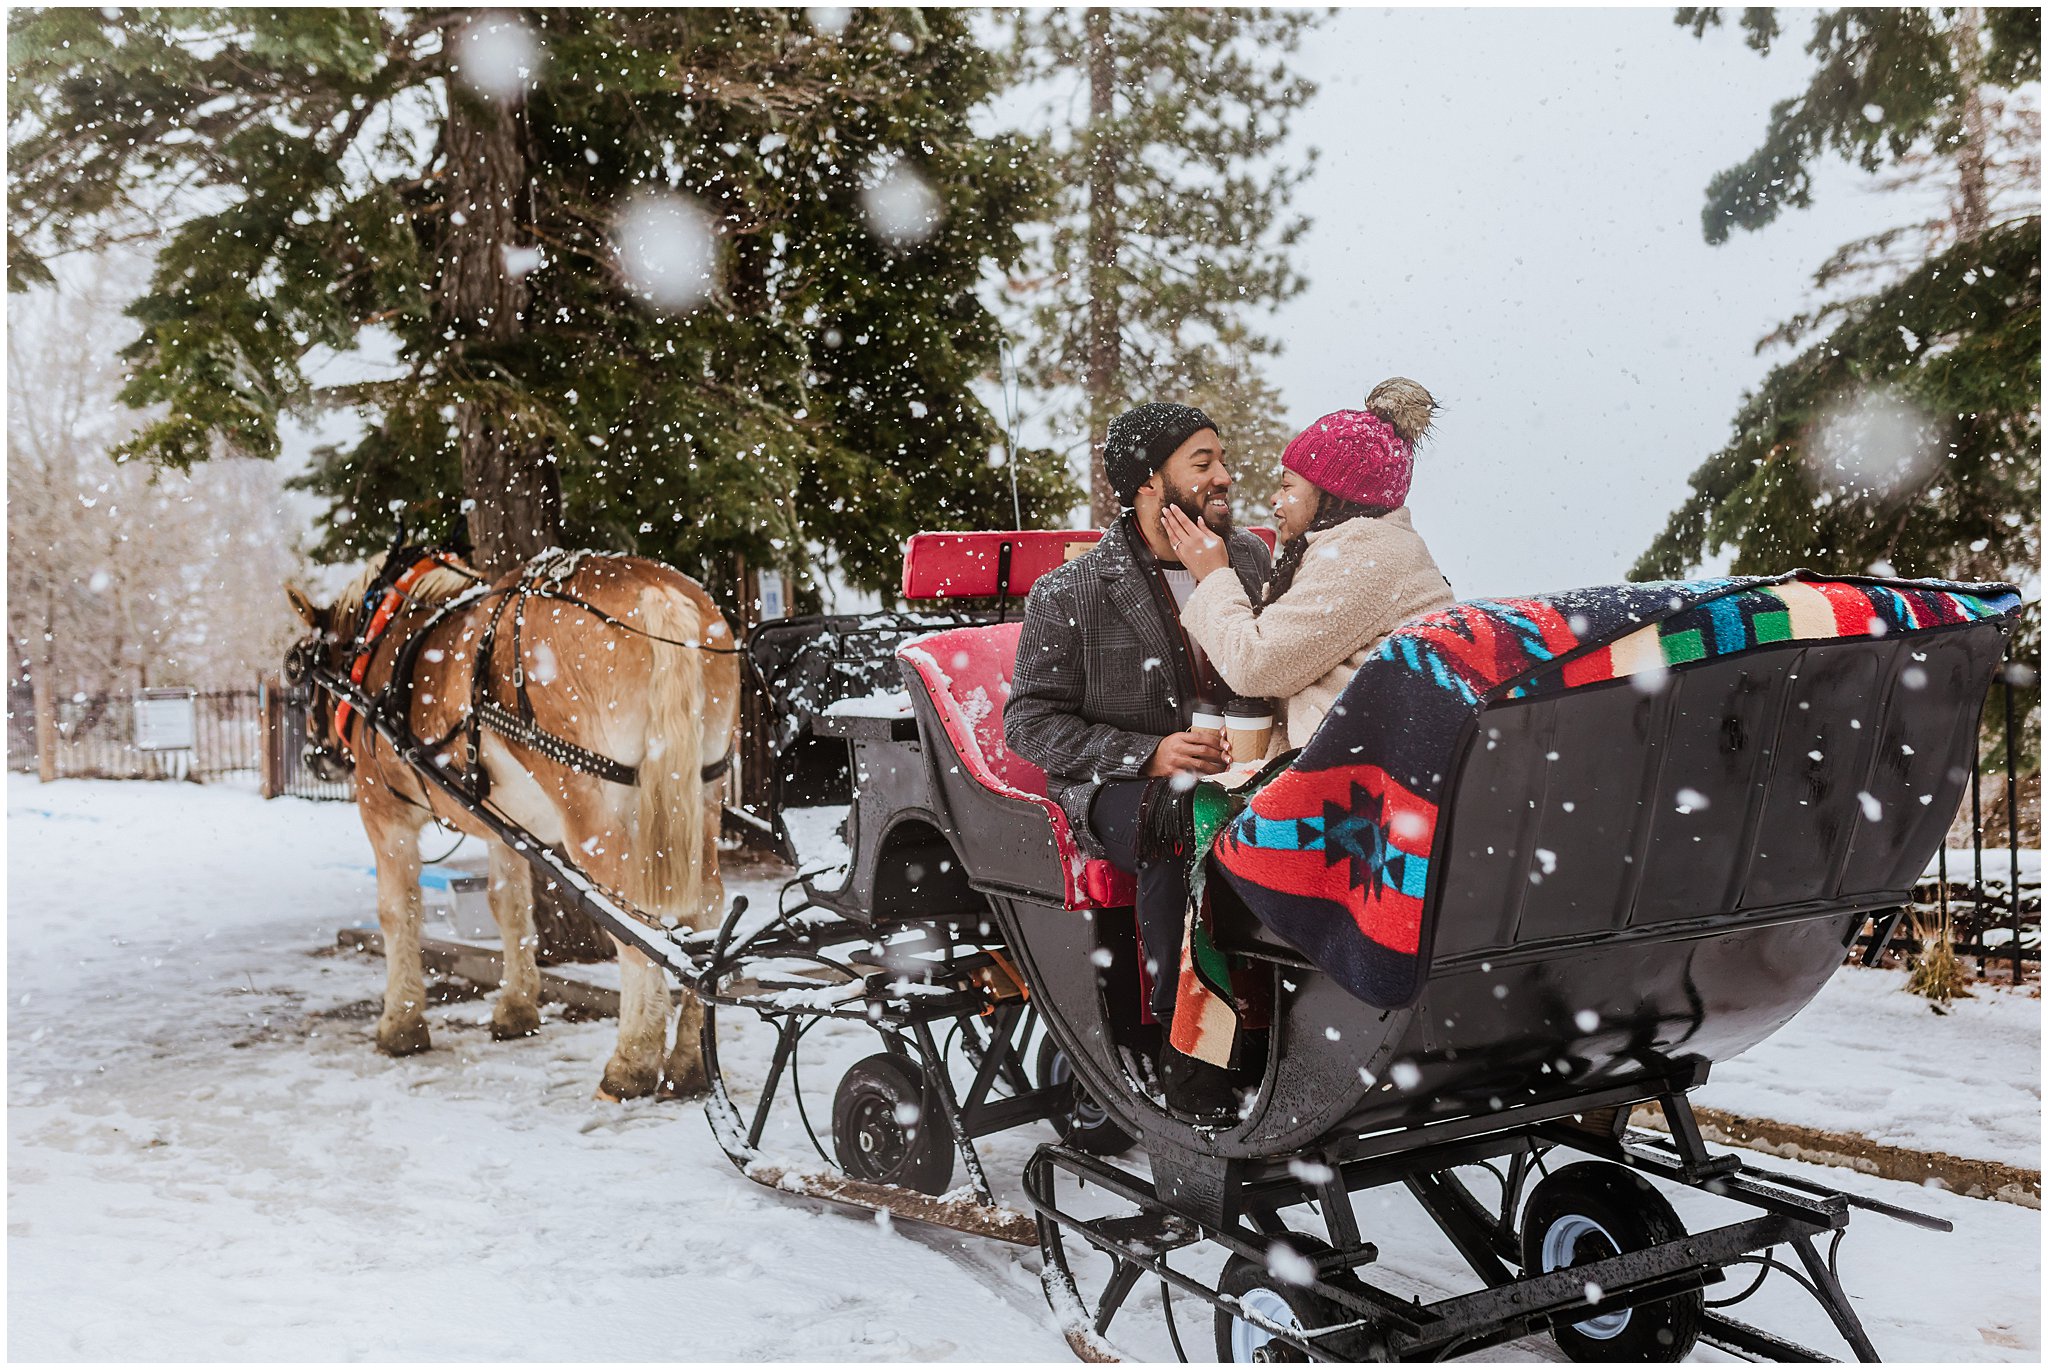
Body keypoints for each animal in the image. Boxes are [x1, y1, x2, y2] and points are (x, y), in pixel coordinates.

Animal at [284, 548, 741, 1097]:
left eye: (309, 679)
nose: (315, 757)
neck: (382, 642)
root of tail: (656, 591)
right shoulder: (508, 828)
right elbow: (511, 907)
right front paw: (516, 1008)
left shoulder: (384, 814)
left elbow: (399, 912)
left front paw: (401, 1023)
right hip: (702, 795)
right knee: (705, 912)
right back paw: (689, 1059)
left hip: (597, 818)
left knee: (635, 923)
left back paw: (630, 1062)